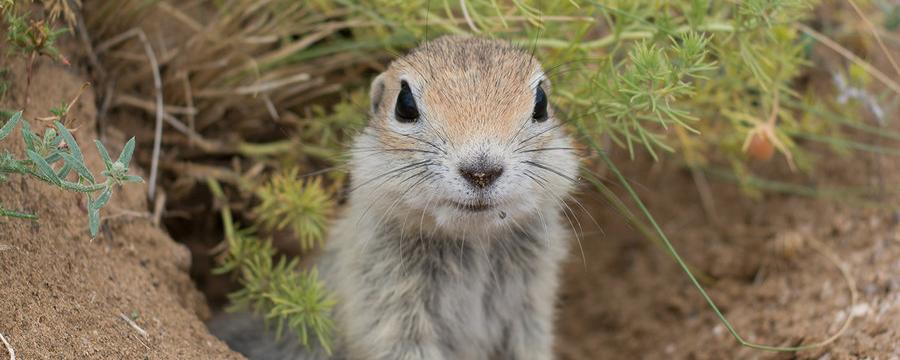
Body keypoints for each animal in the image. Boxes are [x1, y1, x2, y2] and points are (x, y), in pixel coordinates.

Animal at [211, 35, 576, 360]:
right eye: (405, 104)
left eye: (541, 102)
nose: (481, 171)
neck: (473, 239)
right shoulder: (390, 312)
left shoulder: (530, 308)